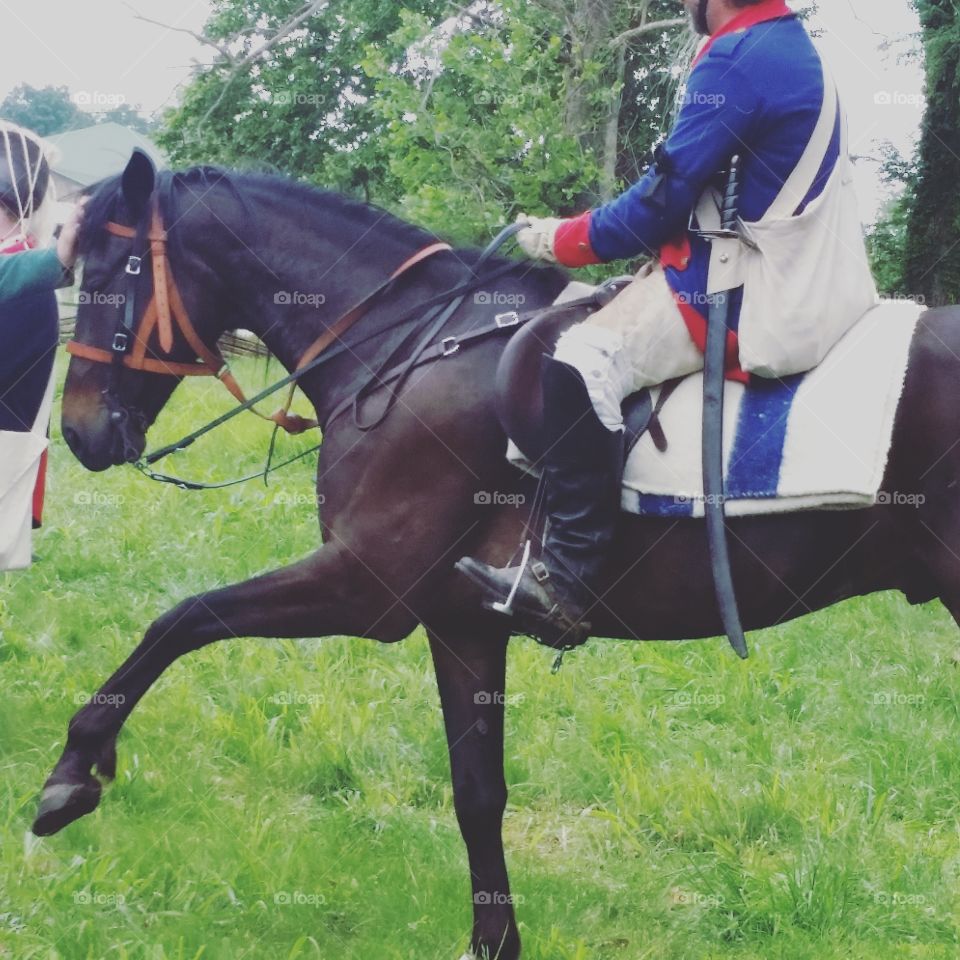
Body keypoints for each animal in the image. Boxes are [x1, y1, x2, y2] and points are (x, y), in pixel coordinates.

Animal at [33, 154, 960, 956]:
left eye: (111, 267)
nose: (77, 432)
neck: (404, 347)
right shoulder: (461, 622)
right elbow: (478, 793)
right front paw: (494, 942)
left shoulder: (363, 588)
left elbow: (181, 619)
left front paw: (75, 769)